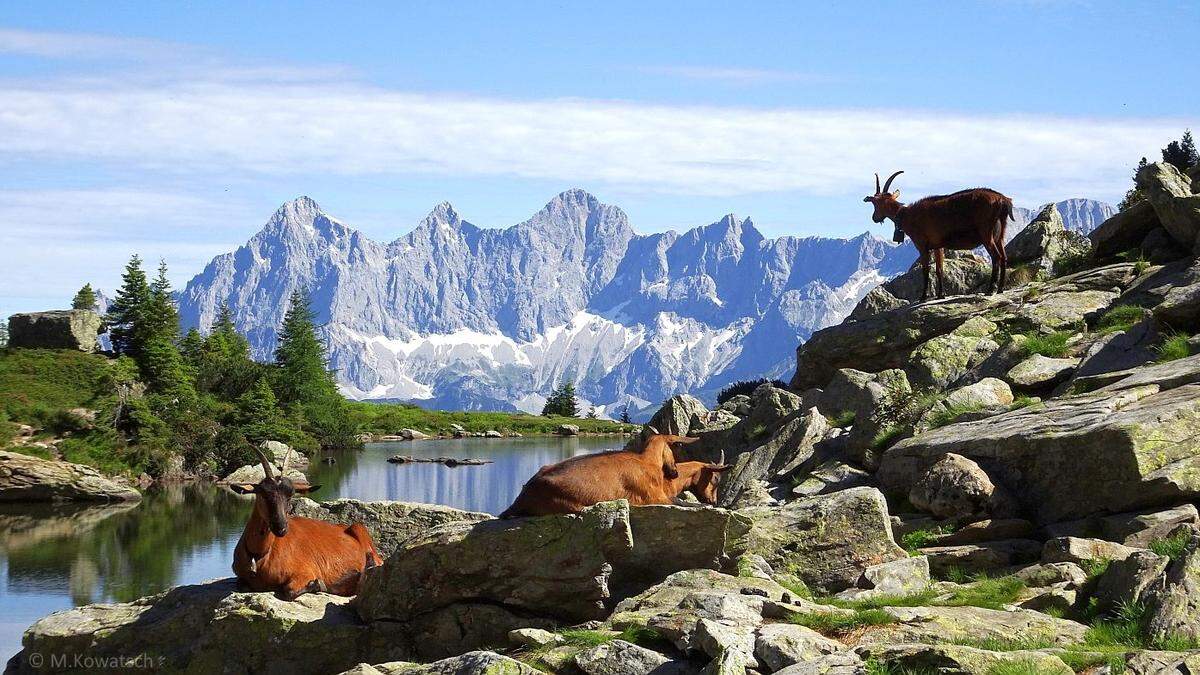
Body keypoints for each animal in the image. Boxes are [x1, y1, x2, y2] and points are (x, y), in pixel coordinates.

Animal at [229, 444, 384, 595]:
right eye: (263, 494)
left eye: (290, 496)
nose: (281, 528)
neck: (259, 554)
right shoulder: (241, 577)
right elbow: (241, 585)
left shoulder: (304, 572)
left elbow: (290, 591)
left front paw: (318, 585)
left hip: (360, 531)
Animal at [864, 168, 1012, 296]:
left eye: (875, 203)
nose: (874, 218)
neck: (906, 215)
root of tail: (1003, 200)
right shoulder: (937, 245)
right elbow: (939, 269)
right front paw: (941, 295)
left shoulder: (922, 246)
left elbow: (926, 270)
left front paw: (923, 297)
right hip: (1000, 235)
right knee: (1004, 257)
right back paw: (1000, 289)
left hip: (986, 234)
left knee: (996, 257)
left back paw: (990, 289)